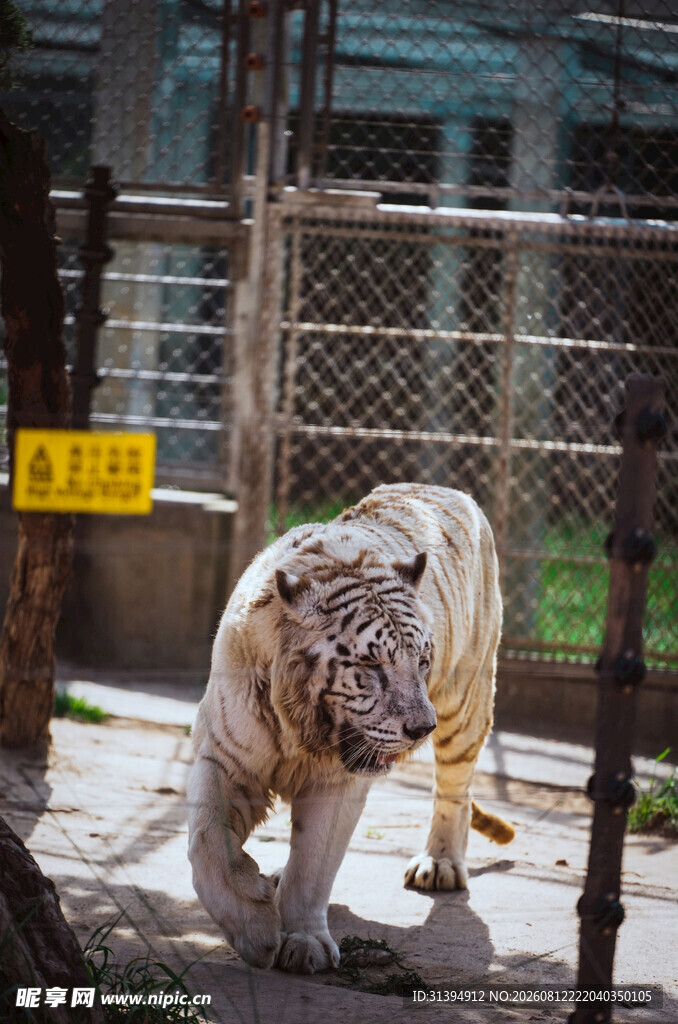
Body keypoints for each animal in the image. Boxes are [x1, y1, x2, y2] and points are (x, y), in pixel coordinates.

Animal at [187, 482, 514, 975]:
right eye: (372, 667)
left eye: (422, 661)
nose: (422, 727)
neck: (298, 726)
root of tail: (453, 490)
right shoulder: (224, 755)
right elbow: (208, 842)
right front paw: (255, 930)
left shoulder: (337, 782)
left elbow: (314, 863)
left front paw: (303, 942)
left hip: (466, 705)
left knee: (455, 787)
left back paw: (439, 865)